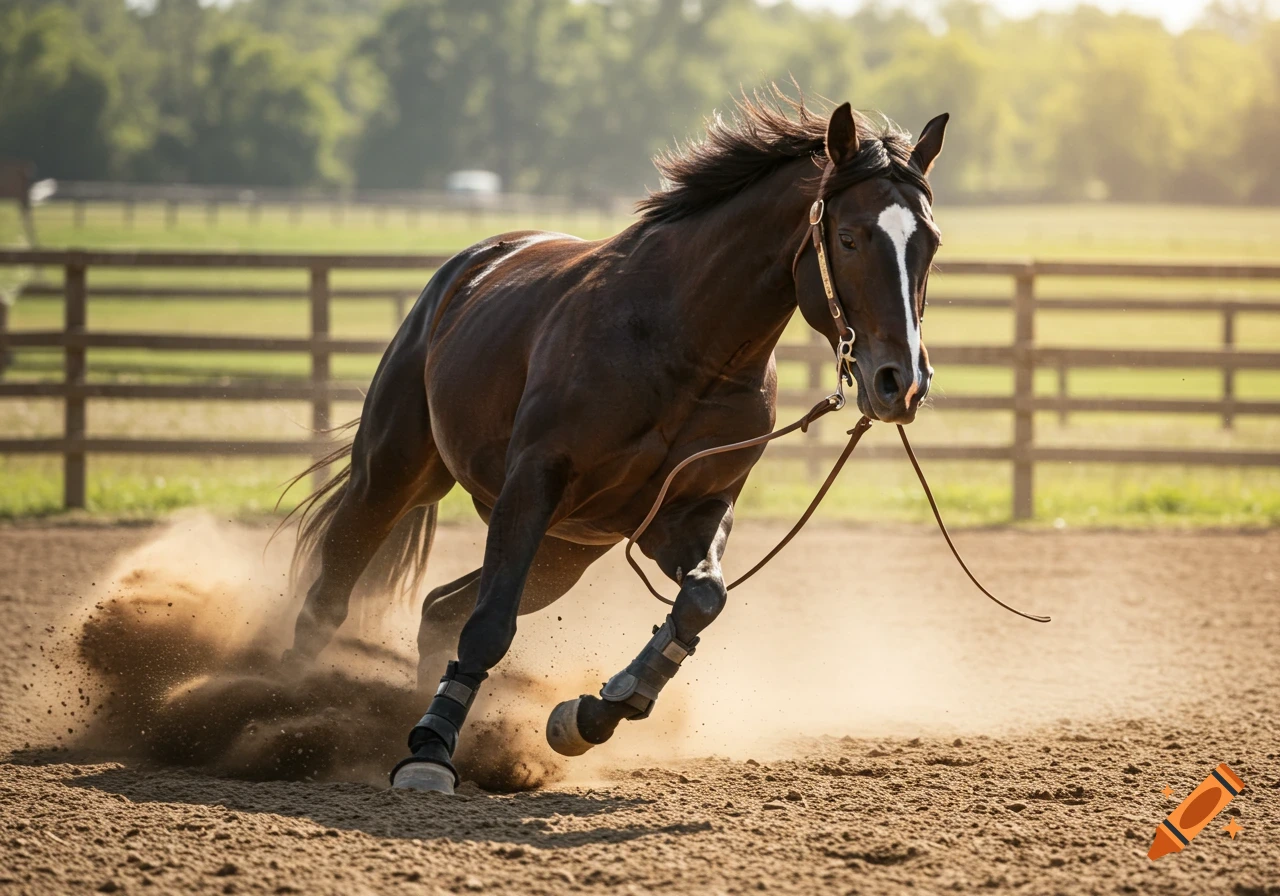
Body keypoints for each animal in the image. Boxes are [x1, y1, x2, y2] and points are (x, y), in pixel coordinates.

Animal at [280, 92, 948, 793]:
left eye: (929, 243)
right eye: (848, 237)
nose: (900, 381)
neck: (682, 344)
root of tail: (473, 266)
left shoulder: (686, 514)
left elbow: (702, 600)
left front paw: (592, 712)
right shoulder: (533, 482)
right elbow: (489, 626)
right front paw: (429, 755)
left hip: (565, 552)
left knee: (439, 608)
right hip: (393, 473)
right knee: (330, 599)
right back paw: (296, 713)